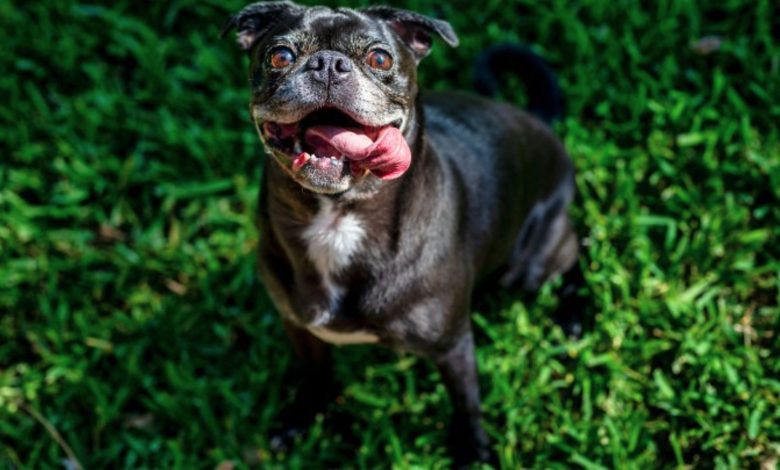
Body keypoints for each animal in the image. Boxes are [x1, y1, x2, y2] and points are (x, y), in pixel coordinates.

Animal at [222, 0, 580, 466]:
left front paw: (473, 451)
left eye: (380, 59)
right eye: (280, 56)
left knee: (574, 254)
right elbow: (315, 375)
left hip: (531, 263)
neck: (338, 217)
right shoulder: (298, 327)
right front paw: (301, 419)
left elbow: (466, 402)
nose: (328, 64)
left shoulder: (452, 346)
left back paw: (575, 314)